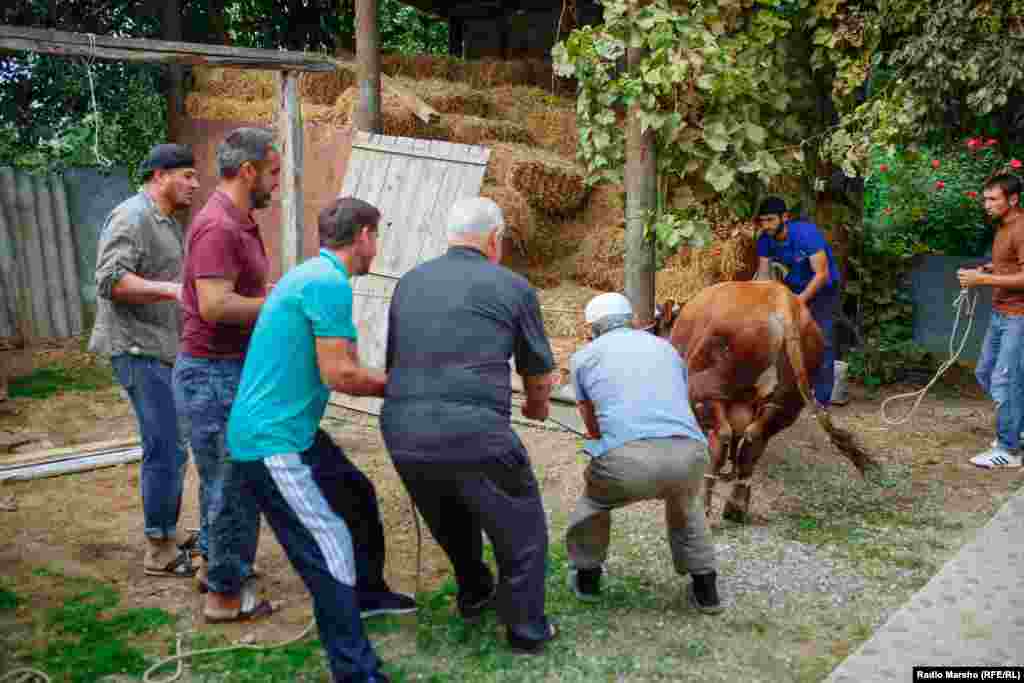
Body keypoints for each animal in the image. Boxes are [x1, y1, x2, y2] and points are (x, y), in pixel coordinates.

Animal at [663, 280, 872, 520]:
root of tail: (782, 300)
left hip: (706, 392)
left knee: (721, 440)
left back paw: (705, 507)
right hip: (783, 405)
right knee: (752, 444)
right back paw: (736, 508)